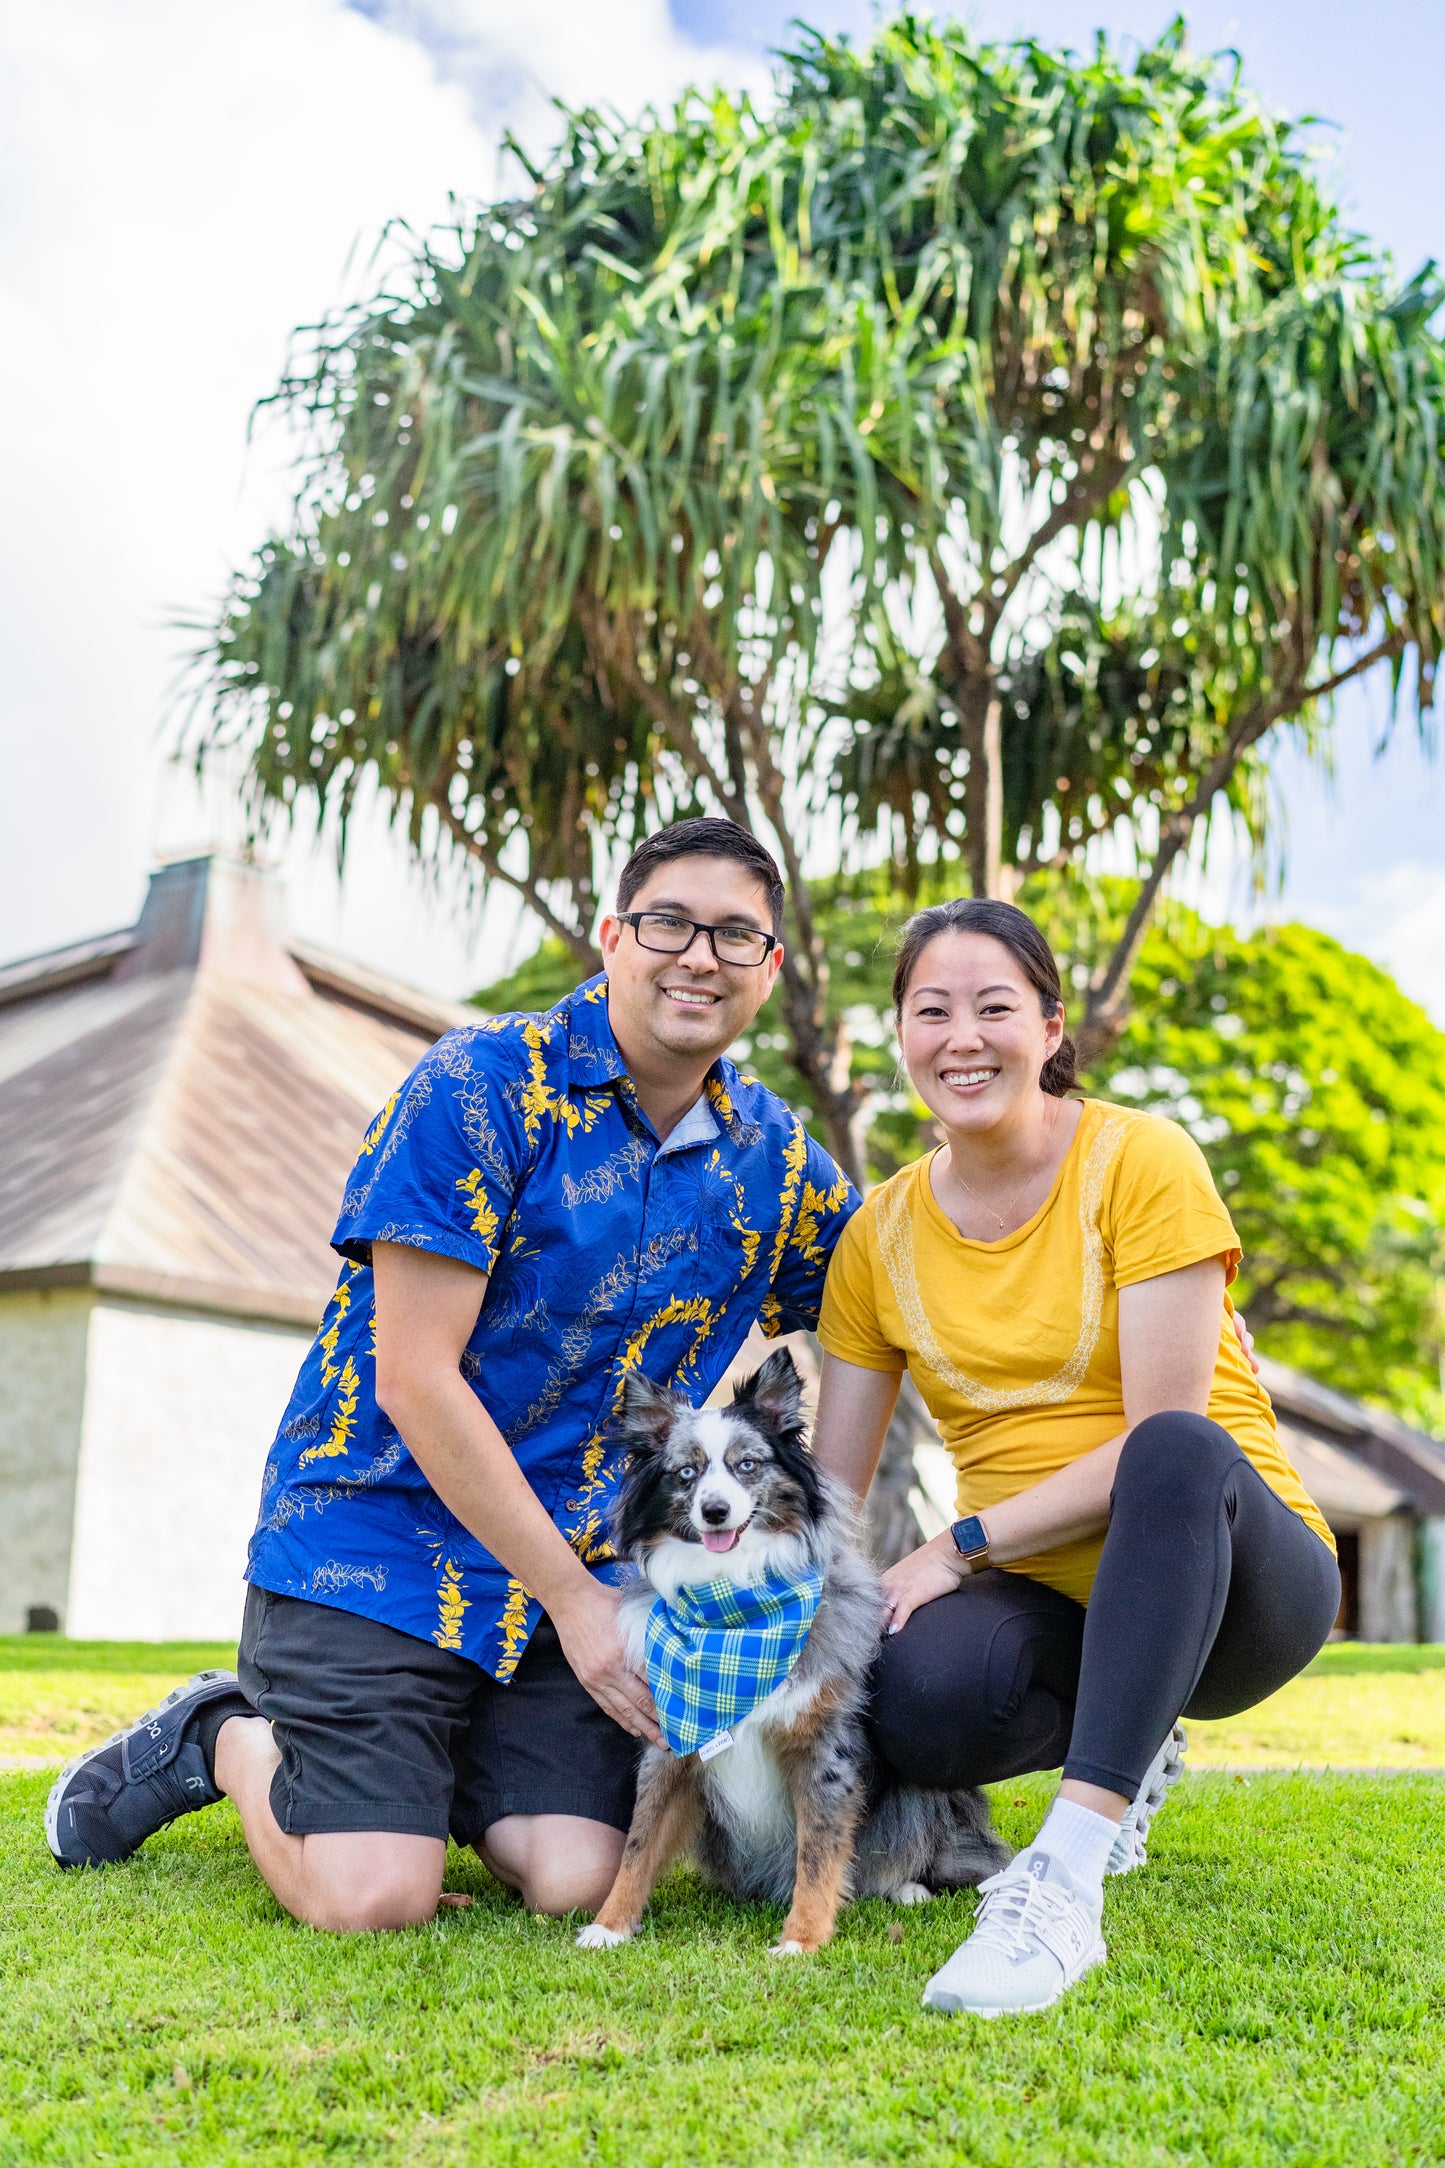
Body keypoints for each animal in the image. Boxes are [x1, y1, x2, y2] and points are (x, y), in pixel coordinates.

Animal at [576, 1344, 1005, 1959]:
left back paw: (910, 1888)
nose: (714, 1511)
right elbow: (639, 1843)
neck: (734, 1612)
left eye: (747, 1465)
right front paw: (609, 1926)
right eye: (687, 1472)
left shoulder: (821, 1747)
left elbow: (818, 1854)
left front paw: (802, 1941)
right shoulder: (669, 1745)